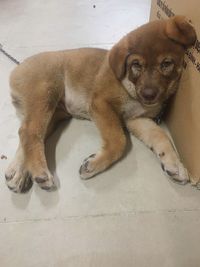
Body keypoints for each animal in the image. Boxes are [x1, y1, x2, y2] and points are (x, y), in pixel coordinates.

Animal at [5, 15, 197, 194]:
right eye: (136, 65)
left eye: (166, 64)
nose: (148, 95)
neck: (129, 88)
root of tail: (18, 67)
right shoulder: (101, 103)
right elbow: (118, 140)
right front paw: (94, 164)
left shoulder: (137, 119)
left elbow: (161, 136)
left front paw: (175, 164)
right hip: (46, 94)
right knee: (30, 131)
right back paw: (40, 172)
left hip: (53, 113)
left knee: (27, 134)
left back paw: (17, 173)